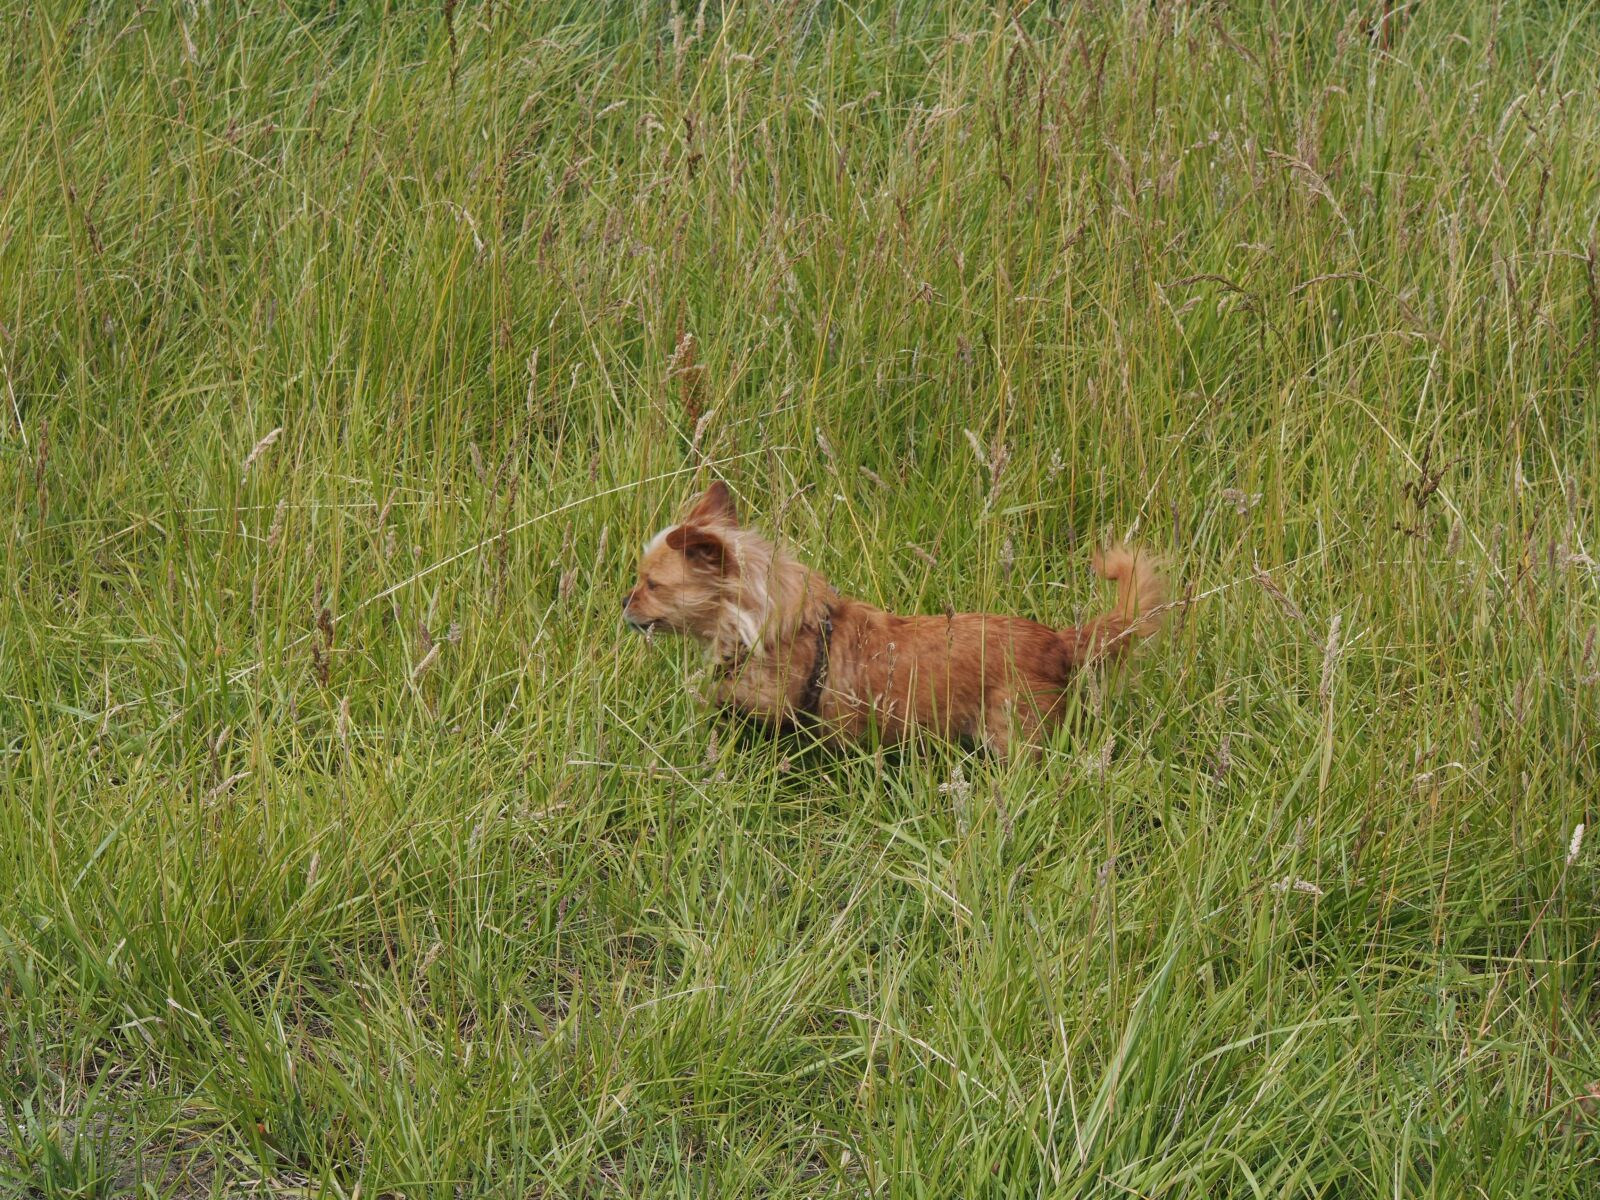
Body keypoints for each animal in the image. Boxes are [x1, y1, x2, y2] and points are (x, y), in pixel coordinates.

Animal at [624, 483, 1164, 755]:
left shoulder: (775, 704)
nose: (623, 605)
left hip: (1013, 736)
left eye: (651, 585)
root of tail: (1059, 640)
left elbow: (721, 699)